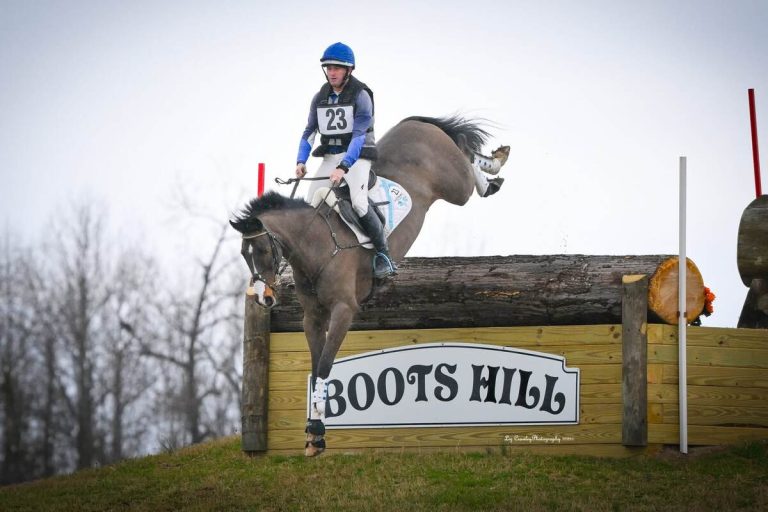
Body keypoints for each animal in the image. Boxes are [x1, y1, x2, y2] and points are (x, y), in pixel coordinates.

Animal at [230, 115, 506, 456]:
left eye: (263, 251)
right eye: (244, 255)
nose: (262, 298)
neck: (317, 246)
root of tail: (415, 123)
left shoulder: (343, 310)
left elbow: (325, 366)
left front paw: (317, 430)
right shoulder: (313, 317)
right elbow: (315, 367)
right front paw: (314, 435)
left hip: (456, 184)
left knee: (468, 166)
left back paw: (494, 170)